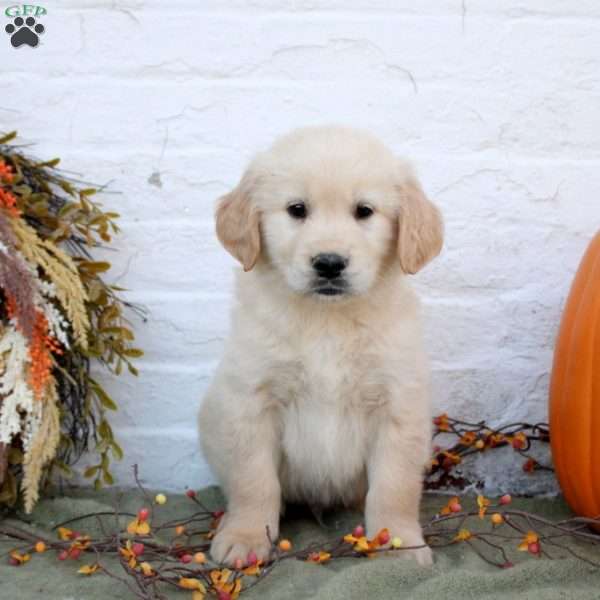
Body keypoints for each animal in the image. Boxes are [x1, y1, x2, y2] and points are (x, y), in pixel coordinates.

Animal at [199, 125, 442, 568]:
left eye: (364, 211)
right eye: (297, 209)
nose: (329, 263)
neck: (327, 319)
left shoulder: (397, 406)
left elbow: (394, 487)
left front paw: (398, 542)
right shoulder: (252, 402)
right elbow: (253, 480)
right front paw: (245, 536)